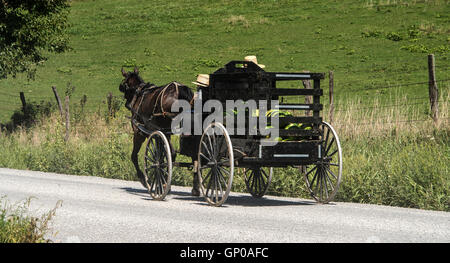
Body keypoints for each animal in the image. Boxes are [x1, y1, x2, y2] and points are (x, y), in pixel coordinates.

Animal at [118, 67, 200, 196]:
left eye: (124, 83)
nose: (127, 104)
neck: (139, 93)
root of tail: (179, 90)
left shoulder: (139, 133)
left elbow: (134, 156)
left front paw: (143, 179)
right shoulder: (158, 132)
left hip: (165, 130)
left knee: (173, 153)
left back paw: (165, 184)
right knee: (194, 154)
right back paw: (195, 188)